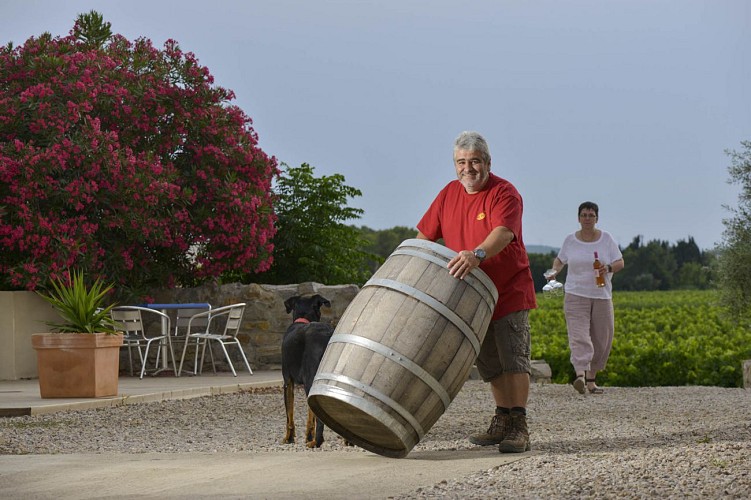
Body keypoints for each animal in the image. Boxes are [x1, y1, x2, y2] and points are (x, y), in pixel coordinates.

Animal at [282, 292, 334, 450]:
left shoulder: (288, 381)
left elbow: (289, 415)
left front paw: (289, 438)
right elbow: (311, 416)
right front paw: (308, 436)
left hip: (311, 377)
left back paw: (317, 441)